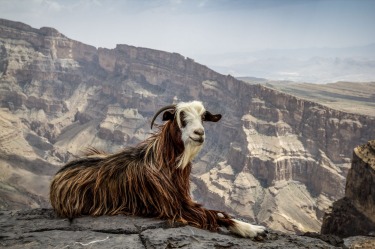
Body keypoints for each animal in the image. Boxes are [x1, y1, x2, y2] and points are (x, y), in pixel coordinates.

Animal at [50, 100, 268, 238]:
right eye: (182, 119)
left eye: (203, 118)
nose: (199, 133)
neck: (162, 161)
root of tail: (55, 179)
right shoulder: (173, 206)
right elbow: (215, 215)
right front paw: (254, 229)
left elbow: (219, 214)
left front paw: (254, 227)